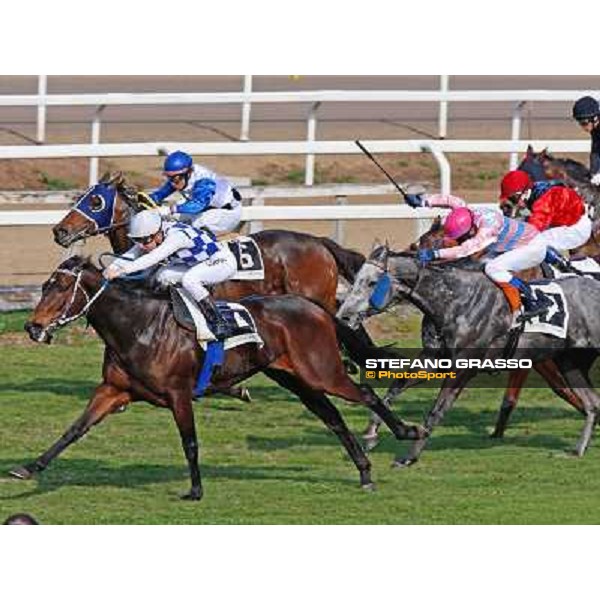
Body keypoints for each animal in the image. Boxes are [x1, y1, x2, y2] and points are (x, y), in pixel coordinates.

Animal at [338, 246, 600, 466]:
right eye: (356, 279)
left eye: (372, 282)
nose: (344, 316)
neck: (455, 301)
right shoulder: (434, 360)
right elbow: (394, 388)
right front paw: (371, 434)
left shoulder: (464, 368)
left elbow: (437, 410)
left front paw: (409, 456)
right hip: (569, 362)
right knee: (592, 403)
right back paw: (578, 449)